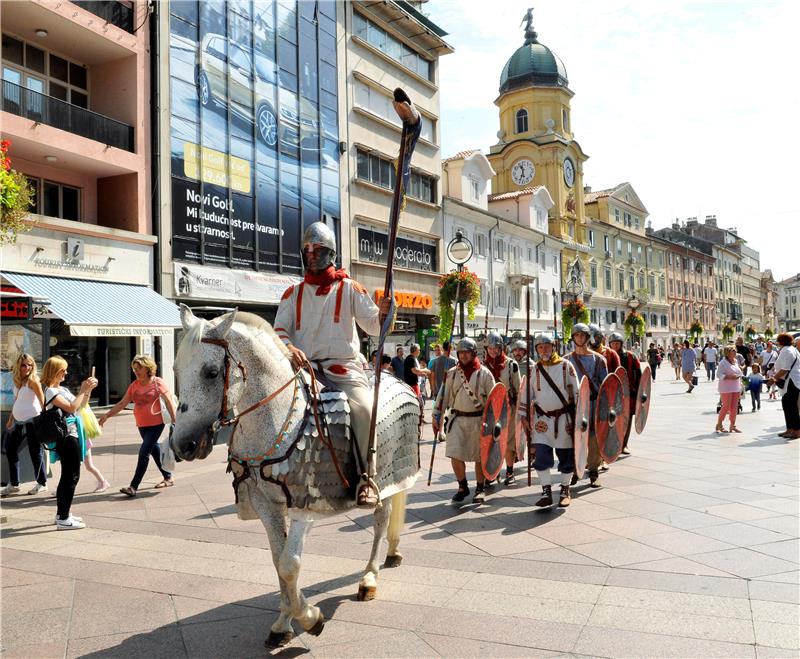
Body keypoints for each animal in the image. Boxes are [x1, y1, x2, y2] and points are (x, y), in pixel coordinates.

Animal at [169, 306, 418, 648]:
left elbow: (290, 564)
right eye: (175, 369)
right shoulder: (265, 504)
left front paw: (310, 618)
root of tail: (397, 379)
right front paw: (284, 622)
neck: (276, 419)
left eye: (211, 372)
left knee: (381, 523)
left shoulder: (305, 503)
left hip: (389, 480)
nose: (183, 444)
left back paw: (369, 578)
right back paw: (391, 555)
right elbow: (279, 561)